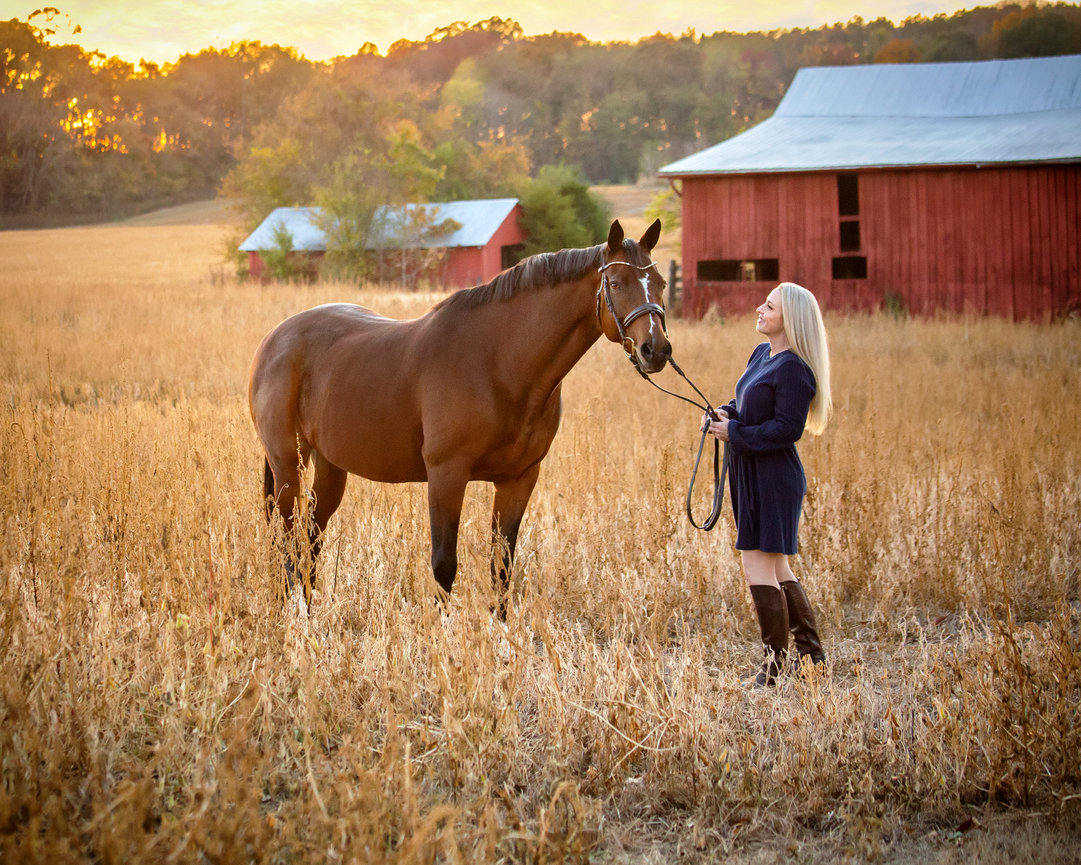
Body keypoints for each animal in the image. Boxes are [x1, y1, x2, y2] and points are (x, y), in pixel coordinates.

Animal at [248, 218, 671, 611]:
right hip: (288, 466)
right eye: (615, 282)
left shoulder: (519, 479)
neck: (497, 364)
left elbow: (502, 567)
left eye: (661, 283)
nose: (656, 350)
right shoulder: (446, 476)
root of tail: (273, 340)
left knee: (310, 538)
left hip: (331, 467)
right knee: (287, 541)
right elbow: (444, 565)